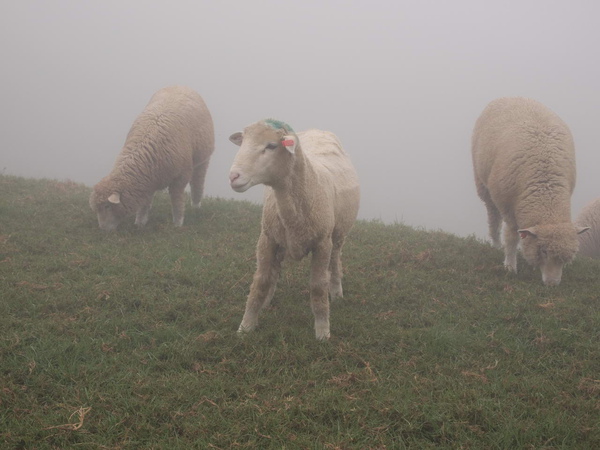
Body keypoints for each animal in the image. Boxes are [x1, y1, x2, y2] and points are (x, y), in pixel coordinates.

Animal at [87, 85, 213, 230]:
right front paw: (140, 223)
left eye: (107, 206)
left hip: (203, 160)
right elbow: (145, 203)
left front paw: (177, 224)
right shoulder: (147, 181)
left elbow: (177, 202)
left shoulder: (180, 178)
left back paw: (196, 206)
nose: (103, 229)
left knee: (198, 182)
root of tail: (180, 85)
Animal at [229, 118, 360, 340]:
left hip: (338, 235)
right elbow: (260, 281)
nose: (233, 176)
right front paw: (245, 327)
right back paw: (267, 300)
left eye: (271, 146)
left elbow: (318, 287)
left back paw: (336, 292)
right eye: (243, 142)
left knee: (335, 262)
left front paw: (322, 331)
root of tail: (319, 131)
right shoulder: (267, 238)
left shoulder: (322, 243)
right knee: (275, 270)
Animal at [472, 97, 588, 286]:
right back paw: (496, 242)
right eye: (544, 251)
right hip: (483, 184)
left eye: (566, 258)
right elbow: (511, 237)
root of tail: (511, 96)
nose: (552, 284)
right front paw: (510, 266)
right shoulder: (508, 207)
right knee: (493, 215)